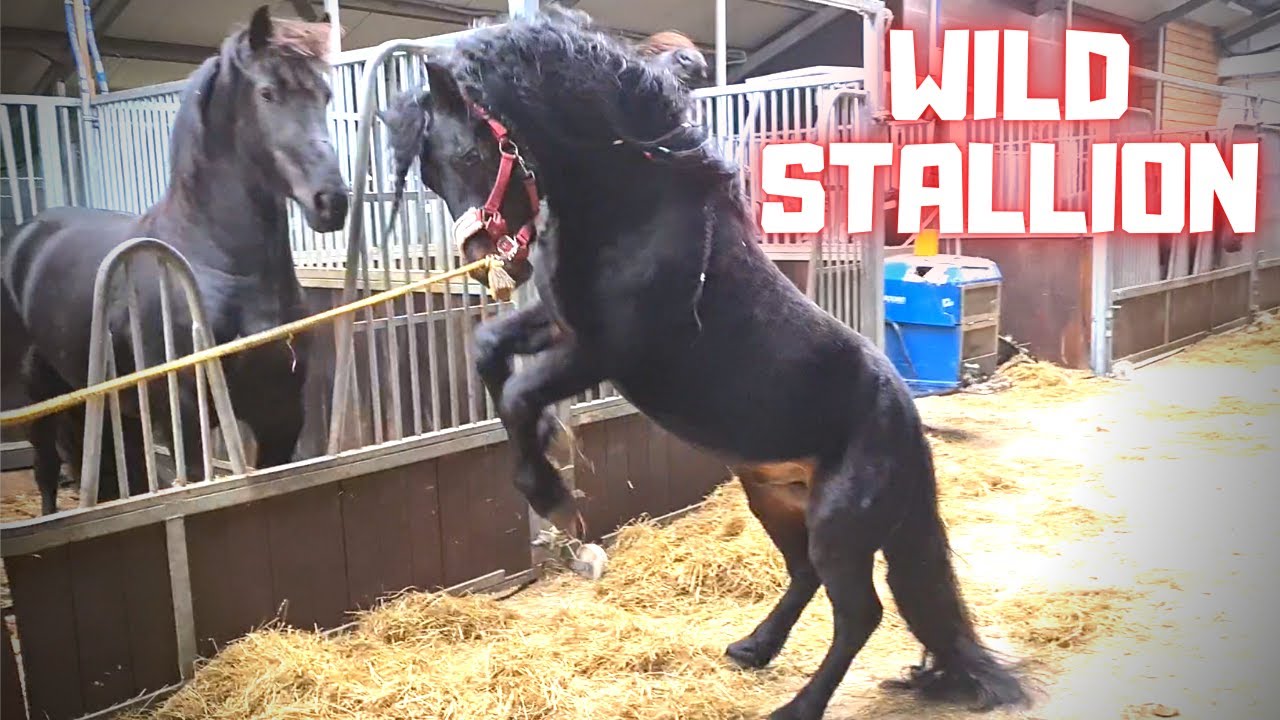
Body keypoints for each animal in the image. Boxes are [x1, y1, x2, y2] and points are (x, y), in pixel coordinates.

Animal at [0, 5, 347, 515]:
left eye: (324, 95)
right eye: (268, 93)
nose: (331, 201)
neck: (219, 266)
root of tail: (29, 233)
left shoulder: (280, 417)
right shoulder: (187, 423)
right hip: (40, 391)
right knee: (47, 474)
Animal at [378, 8, 1033, 720]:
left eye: (473, 153)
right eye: (429, 175)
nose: (486, 260)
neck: (636, 208)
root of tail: (907, 423)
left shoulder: (607, 350)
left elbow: (521, 393)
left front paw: (554, 501)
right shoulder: (561, 324)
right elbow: (489, 352)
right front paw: (550, 447)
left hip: (839, 525)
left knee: (859, 612)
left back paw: (797, 706)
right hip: (773, 497)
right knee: (805, 575)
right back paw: (753, 648)